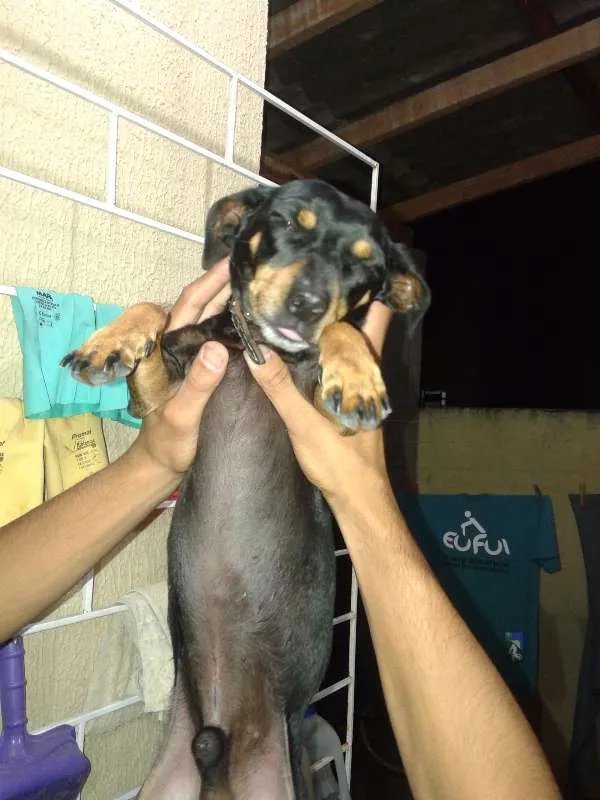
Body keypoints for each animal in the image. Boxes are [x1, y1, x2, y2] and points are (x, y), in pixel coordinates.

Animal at [61, 178, 428, 796]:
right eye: (285, 220)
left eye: (369, 270)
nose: (306, 304)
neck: (254, 348)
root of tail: (217, 758)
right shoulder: (158, 402)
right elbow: (155, 311)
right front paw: (108, 342)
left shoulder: (326, 428)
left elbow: (343, 330)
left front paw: (356, 373)